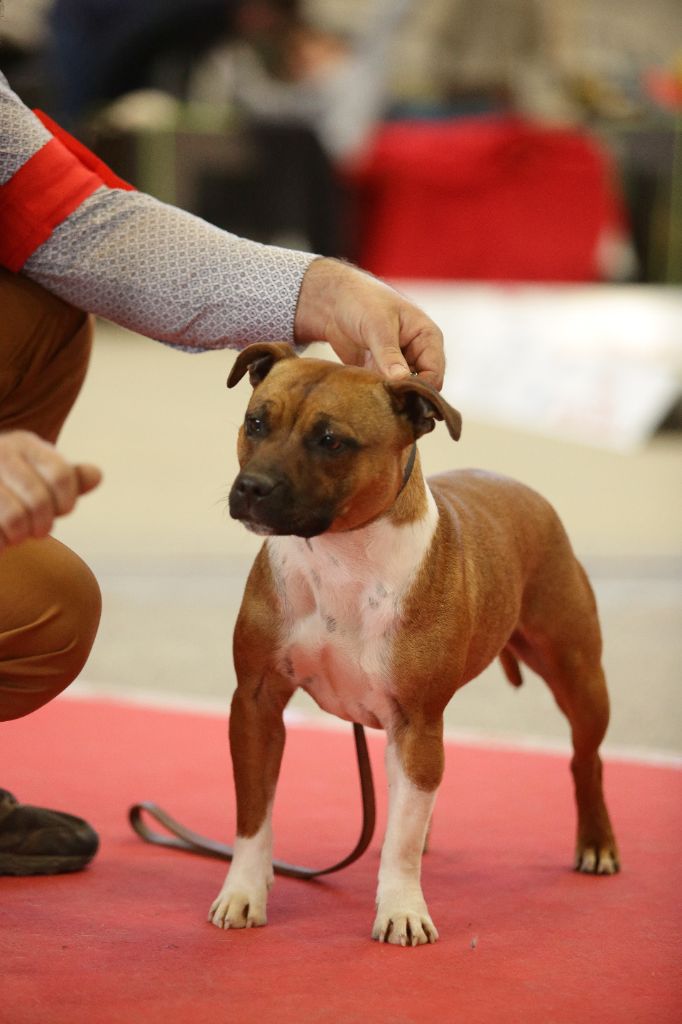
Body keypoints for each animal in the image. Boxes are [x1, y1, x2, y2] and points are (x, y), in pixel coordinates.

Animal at [209, 342, 618, 942]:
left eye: (331, 441)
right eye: (256, 422)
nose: (252, 487)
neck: (340, 555)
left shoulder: (416, 720)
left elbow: (398, 843)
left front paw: (401, 909)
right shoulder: (257, 704)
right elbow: (253, 816)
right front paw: (242, 894)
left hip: (579, 676)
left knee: (585, 760)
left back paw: (597, 844)